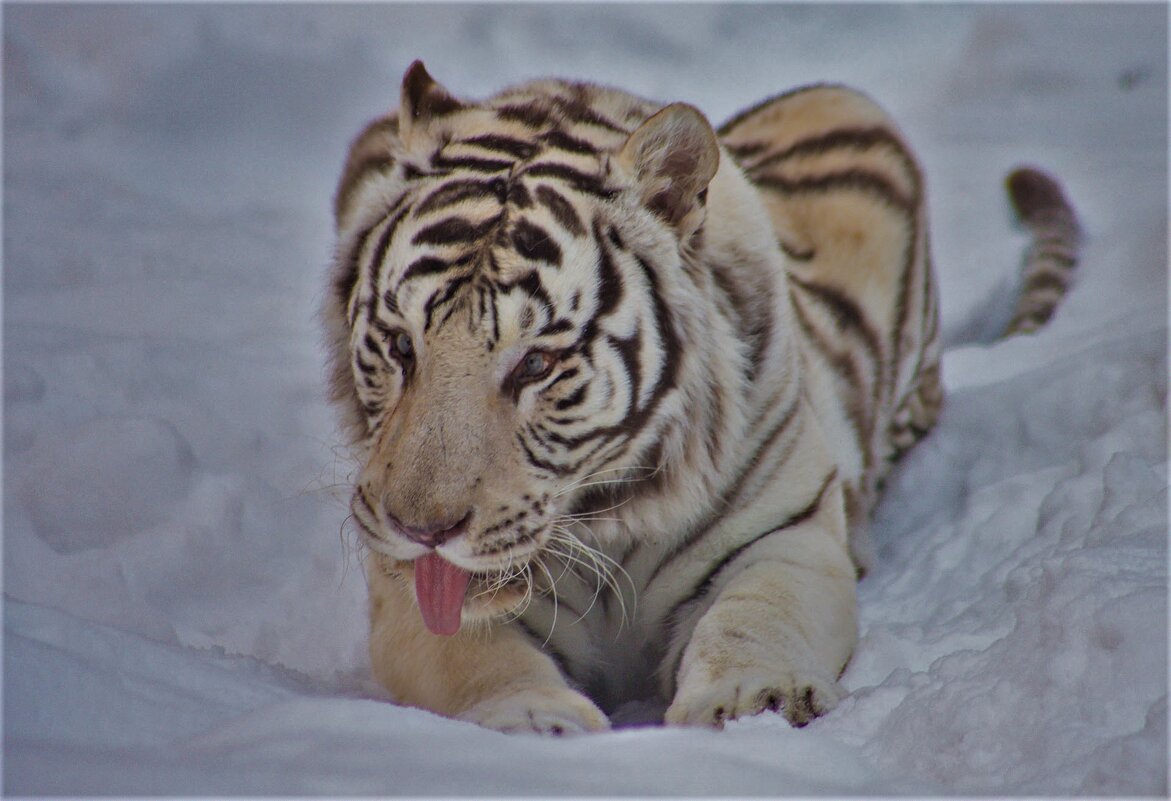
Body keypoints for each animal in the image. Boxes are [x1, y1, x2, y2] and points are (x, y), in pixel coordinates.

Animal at [320, 62, 1077, 735]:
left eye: (536, 362)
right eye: (400, 345)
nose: (423, 529)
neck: (607, 518)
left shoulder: (783, 534)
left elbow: (754, 617)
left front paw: (755, 704)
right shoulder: (407, 594)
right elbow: (478, 659)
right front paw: (533, 721)